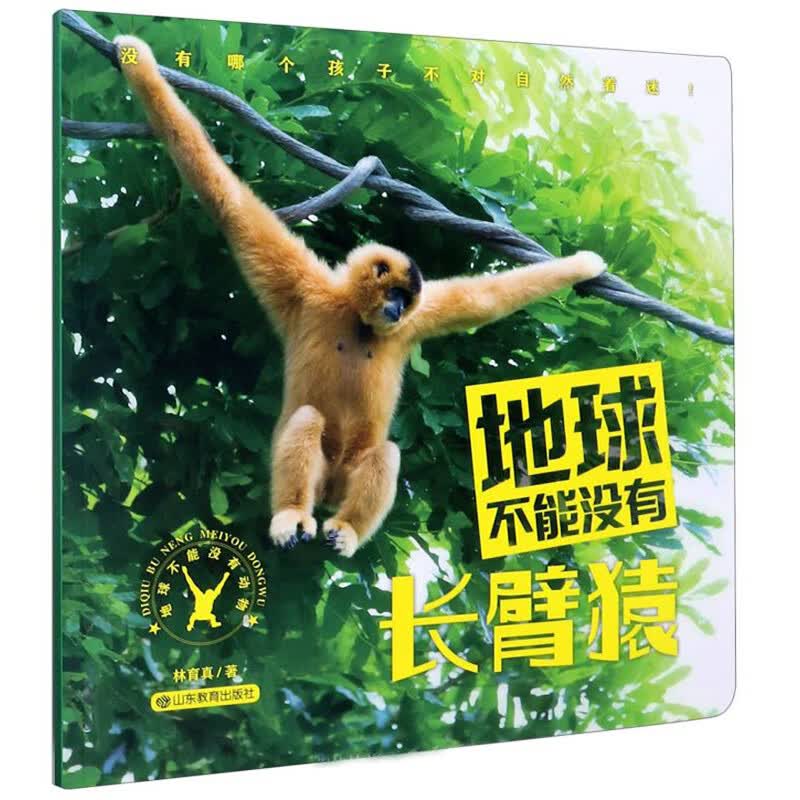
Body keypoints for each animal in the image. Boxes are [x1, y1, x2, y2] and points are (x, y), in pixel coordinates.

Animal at [114, 36, 607, 558]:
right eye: (395, 293)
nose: (397, 308)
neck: (354, 315)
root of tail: (329, 493)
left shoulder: (417, 321)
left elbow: (483, 300)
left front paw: (582, 266)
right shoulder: (304, 286)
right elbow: (226, 199)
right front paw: (137, 60)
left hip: (349, 470)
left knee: (384, 452)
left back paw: (346, 529)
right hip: (317, 470)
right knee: (307, 420)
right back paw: (292, 515)